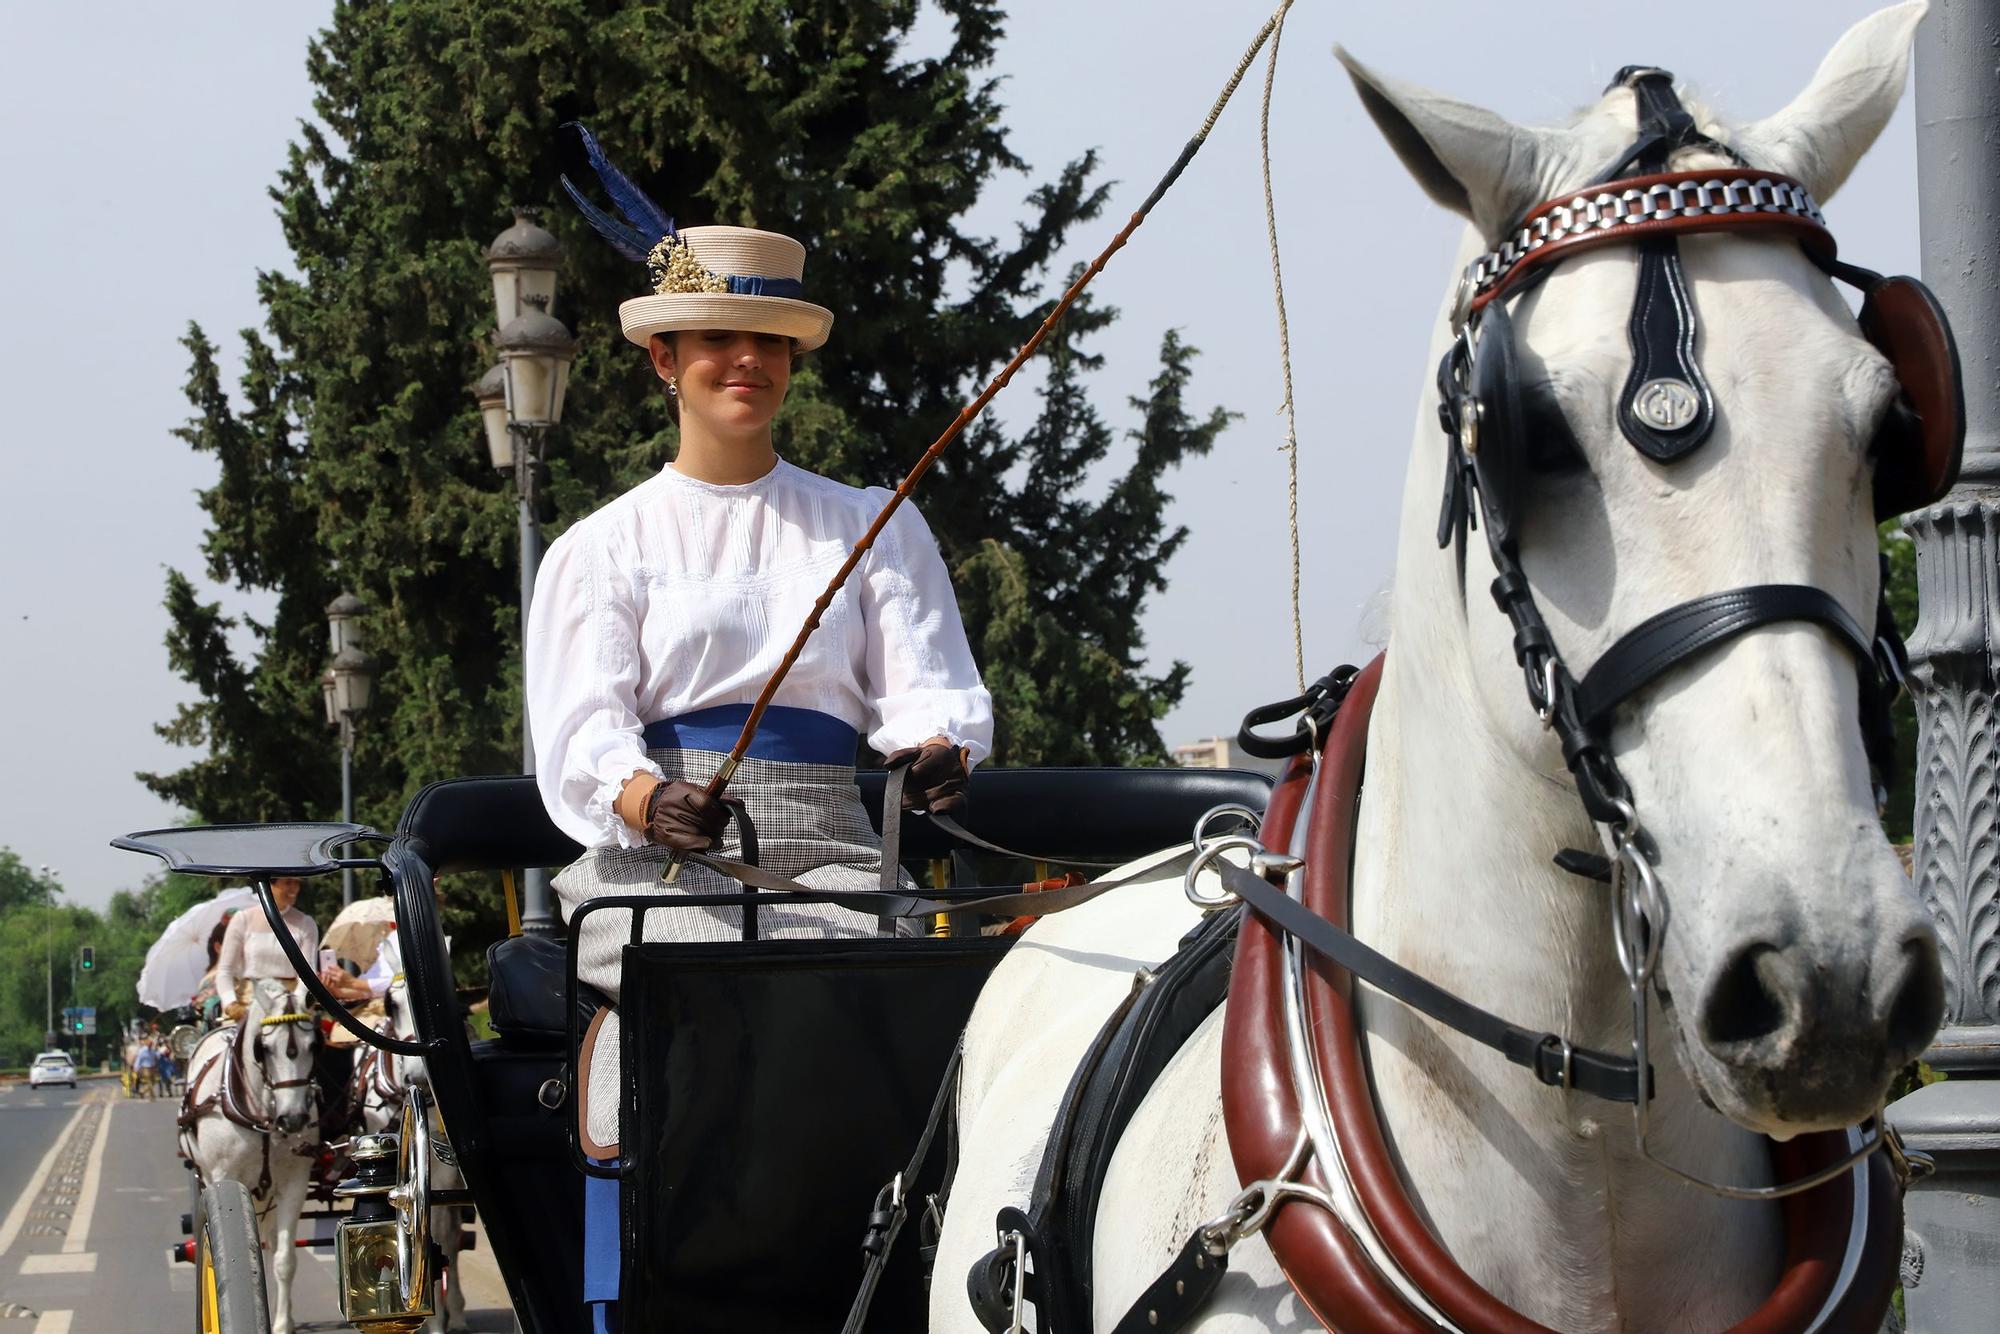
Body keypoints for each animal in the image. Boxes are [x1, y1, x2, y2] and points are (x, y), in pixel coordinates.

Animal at [182, 976, 322, 1334]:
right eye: (265, 1048)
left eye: (314, 1046)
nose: (294, 1118)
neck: (261, 1115)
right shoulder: (224, 1177)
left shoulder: (294, 1183)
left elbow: (285, 1259)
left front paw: (283, 1322)